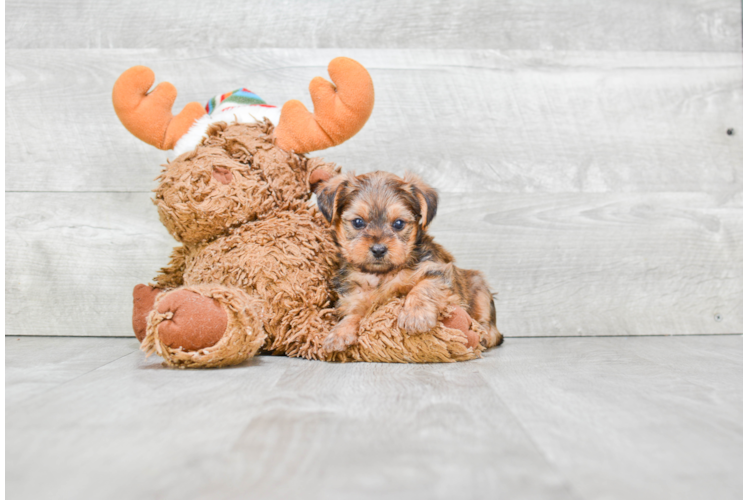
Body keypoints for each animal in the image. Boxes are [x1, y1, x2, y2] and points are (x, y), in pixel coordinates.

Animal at [316, 172, 502, 352]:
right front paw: (339, 333)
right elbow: (353, 314)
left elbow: (423, 288)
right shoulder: (354, 299)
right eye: (358, 222)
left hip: (480, 289)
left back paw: (485, 335)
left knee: (492, 328)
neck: (380, 275)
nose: (378, 249)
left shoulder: (437, 270)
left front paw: (416, 315)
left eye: (398, 223)